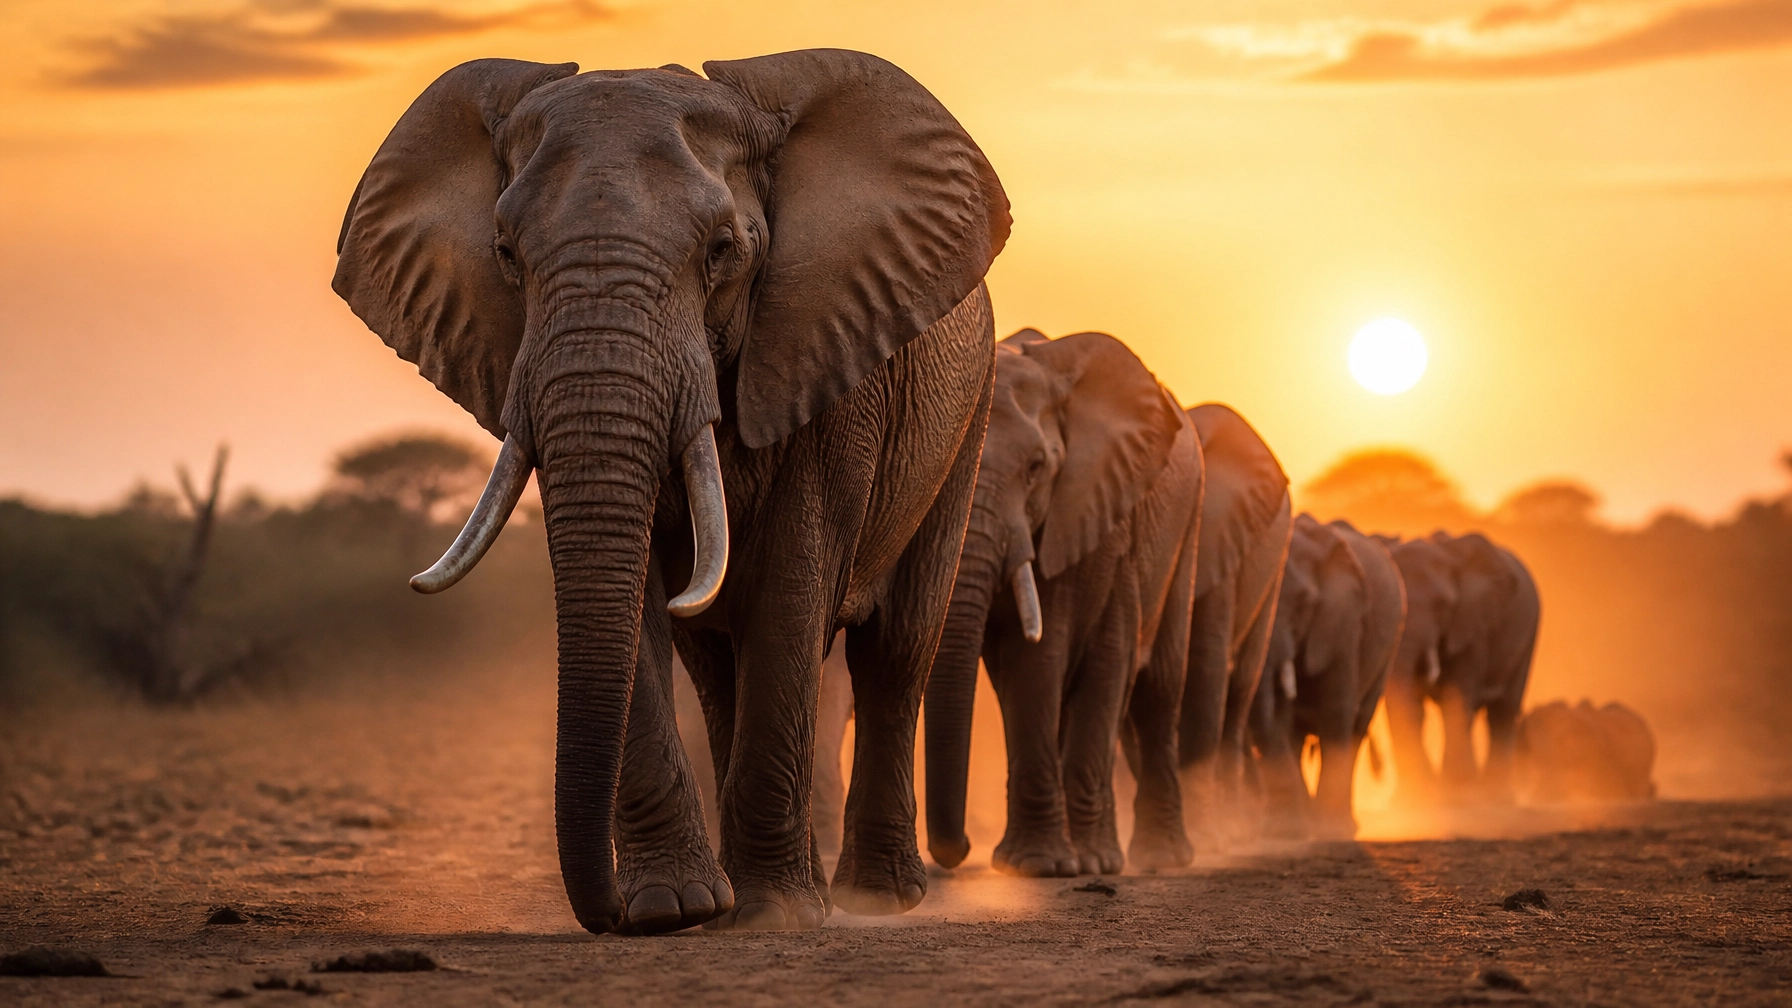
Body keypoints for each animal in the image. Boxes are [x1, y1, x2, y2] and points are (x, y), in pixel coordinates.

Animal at [332, 50, 1009, 933]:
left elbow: (790, 590)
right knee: (717, 668)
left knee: (894, 651)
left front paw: (773, 916)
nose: (609, 913)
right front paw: (676, 910)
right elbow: (643, 603)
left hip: (968, 415)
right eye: (506, 253)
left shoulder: (826, 353)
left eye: (723, 249)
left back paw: (875, 897)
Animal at [923, 328, 1202, 877]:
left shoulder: (1096, 516)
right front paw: (1033, 866)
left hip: (1186, 533)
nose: (958, 850)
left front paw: (1053, 867)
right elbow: (1026, 675)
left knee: (1156, 690)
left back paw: (1151, 859)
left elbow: (1046, 658)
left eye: (1036, 468)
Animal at [1177, 404, 1292, 847]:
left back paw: (1232, 830)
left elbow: (1207, 663)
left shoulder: (1222, 535)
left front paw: (1206, 839)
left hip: (1272, 570)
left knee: (1239, 687)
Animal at [1251, 516, 1405, 840]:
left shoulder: (1343, 621)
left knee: (1356, 727)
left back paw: (1342, 825)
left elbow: (1335, 713)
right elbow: (1279, 720)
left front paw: (1328, 829)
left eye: (1302, 604)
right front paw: (1285, 831)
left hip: (1388, 652)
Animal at [1384, 532, 1540, 806]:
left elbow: (1455, 697)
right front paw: (1416, 798)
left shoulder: (1472, 625)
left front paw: (1457, 792)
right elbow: (1409, 706)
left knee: (1503, 712)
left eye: (1441, 605)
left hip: (1529, 634)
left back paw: (1496, 796)